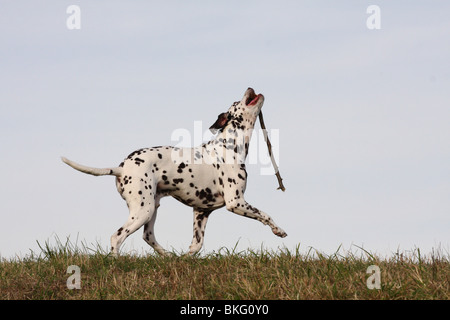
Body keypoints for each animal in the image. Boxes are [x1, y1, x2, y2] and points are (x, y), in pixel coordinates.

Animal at [61, 87, 286, 255]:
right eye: (236, 101)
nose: (250, 87)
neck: (228, 145)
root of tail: (122, 167)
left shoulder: (201, 211)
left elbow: (196, 245)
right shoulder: (236, 202)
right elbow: (265, 215)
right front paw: (279, 230)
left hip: (151, 208)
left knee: (148, 236)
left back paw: (168, 256)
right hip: (143, 211)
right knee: (117, 236)